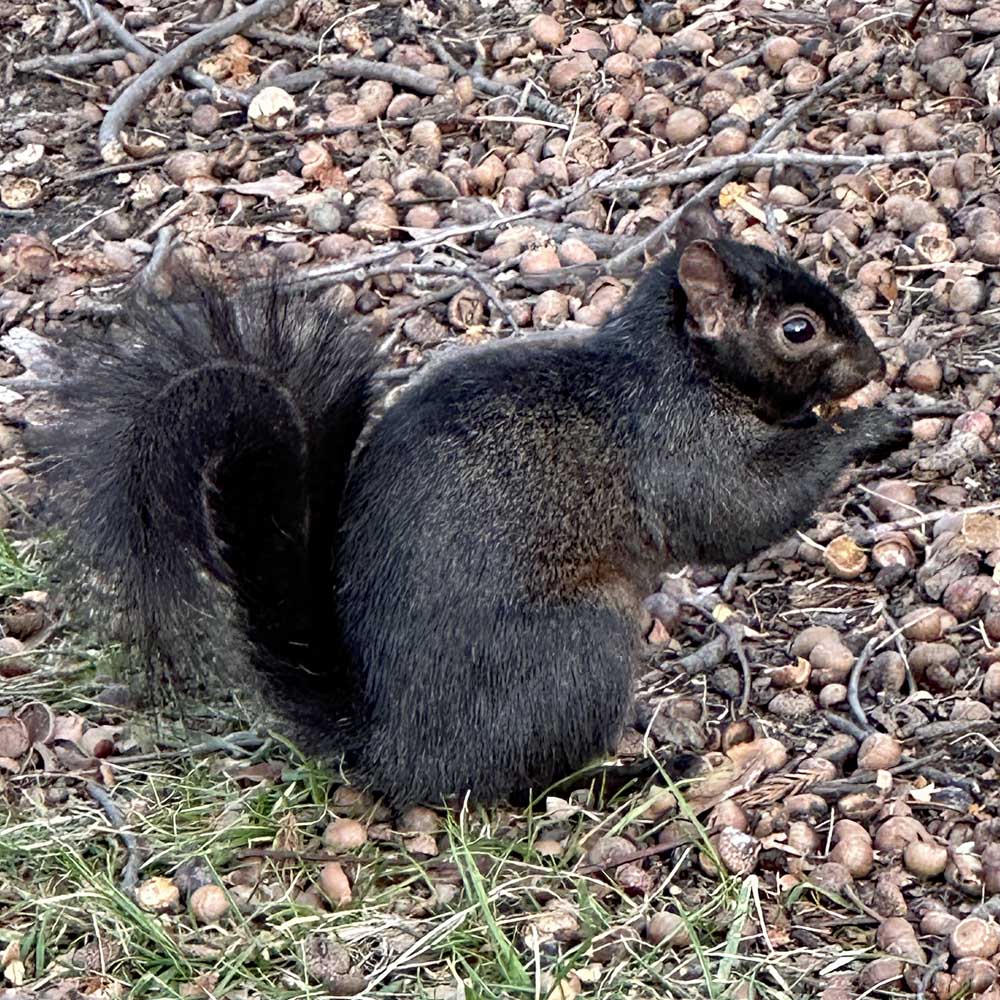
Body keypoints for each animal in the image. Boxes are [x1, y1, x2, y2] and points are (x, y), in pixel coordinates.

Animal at [36, 205, 911, 806]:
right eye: (798, 330)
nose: (874, 363)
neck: (680, 369)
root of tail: (394, 747)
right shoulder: (677, 450)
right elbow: (741, 510)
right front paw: (863, 428)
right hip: (580, 648)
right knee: (528, 784)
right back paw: (637, 772)